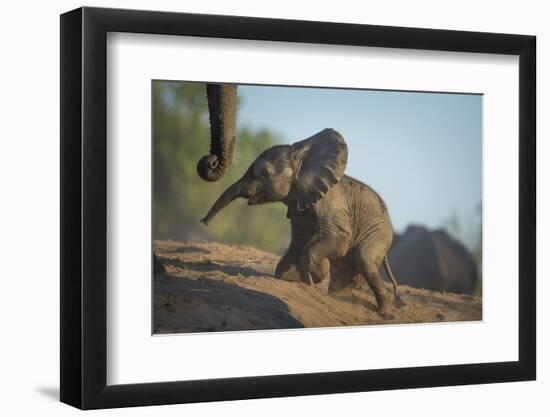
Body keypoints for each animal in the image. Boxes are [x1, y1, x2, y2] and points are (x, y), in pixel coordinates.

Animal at [203, 128, 406, 314]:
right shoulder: (298, 206)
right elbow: (298, 241)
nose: (203, 222)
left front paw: (318, 277)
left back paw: (384, 312)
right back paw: (339, 296)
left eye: (265, 173)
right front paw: (292, 279)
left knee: (363, 258)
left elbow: (337, 241)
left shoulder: (330, 207)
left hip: (379, 233)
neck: (303, 159)